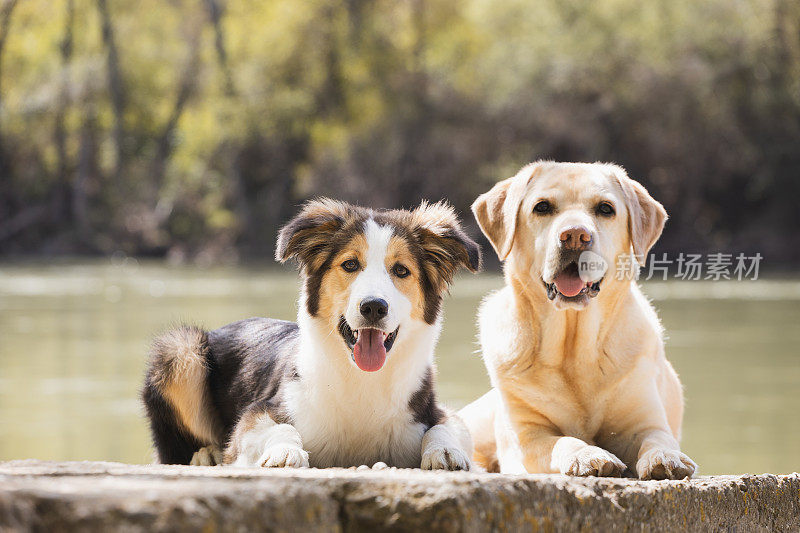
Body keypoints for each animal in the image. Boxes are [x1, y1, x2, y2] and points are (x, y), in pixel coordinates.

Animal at [460, 159, 696, 478]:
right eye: (542, 207)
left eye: (606, 209)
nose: (574, 235)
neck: (573, 347)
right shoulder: (529, 435)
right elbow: (564, 440)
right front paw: (588, 455)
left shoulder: (645, 420)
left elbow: (657, 439)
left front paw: (666, 458)